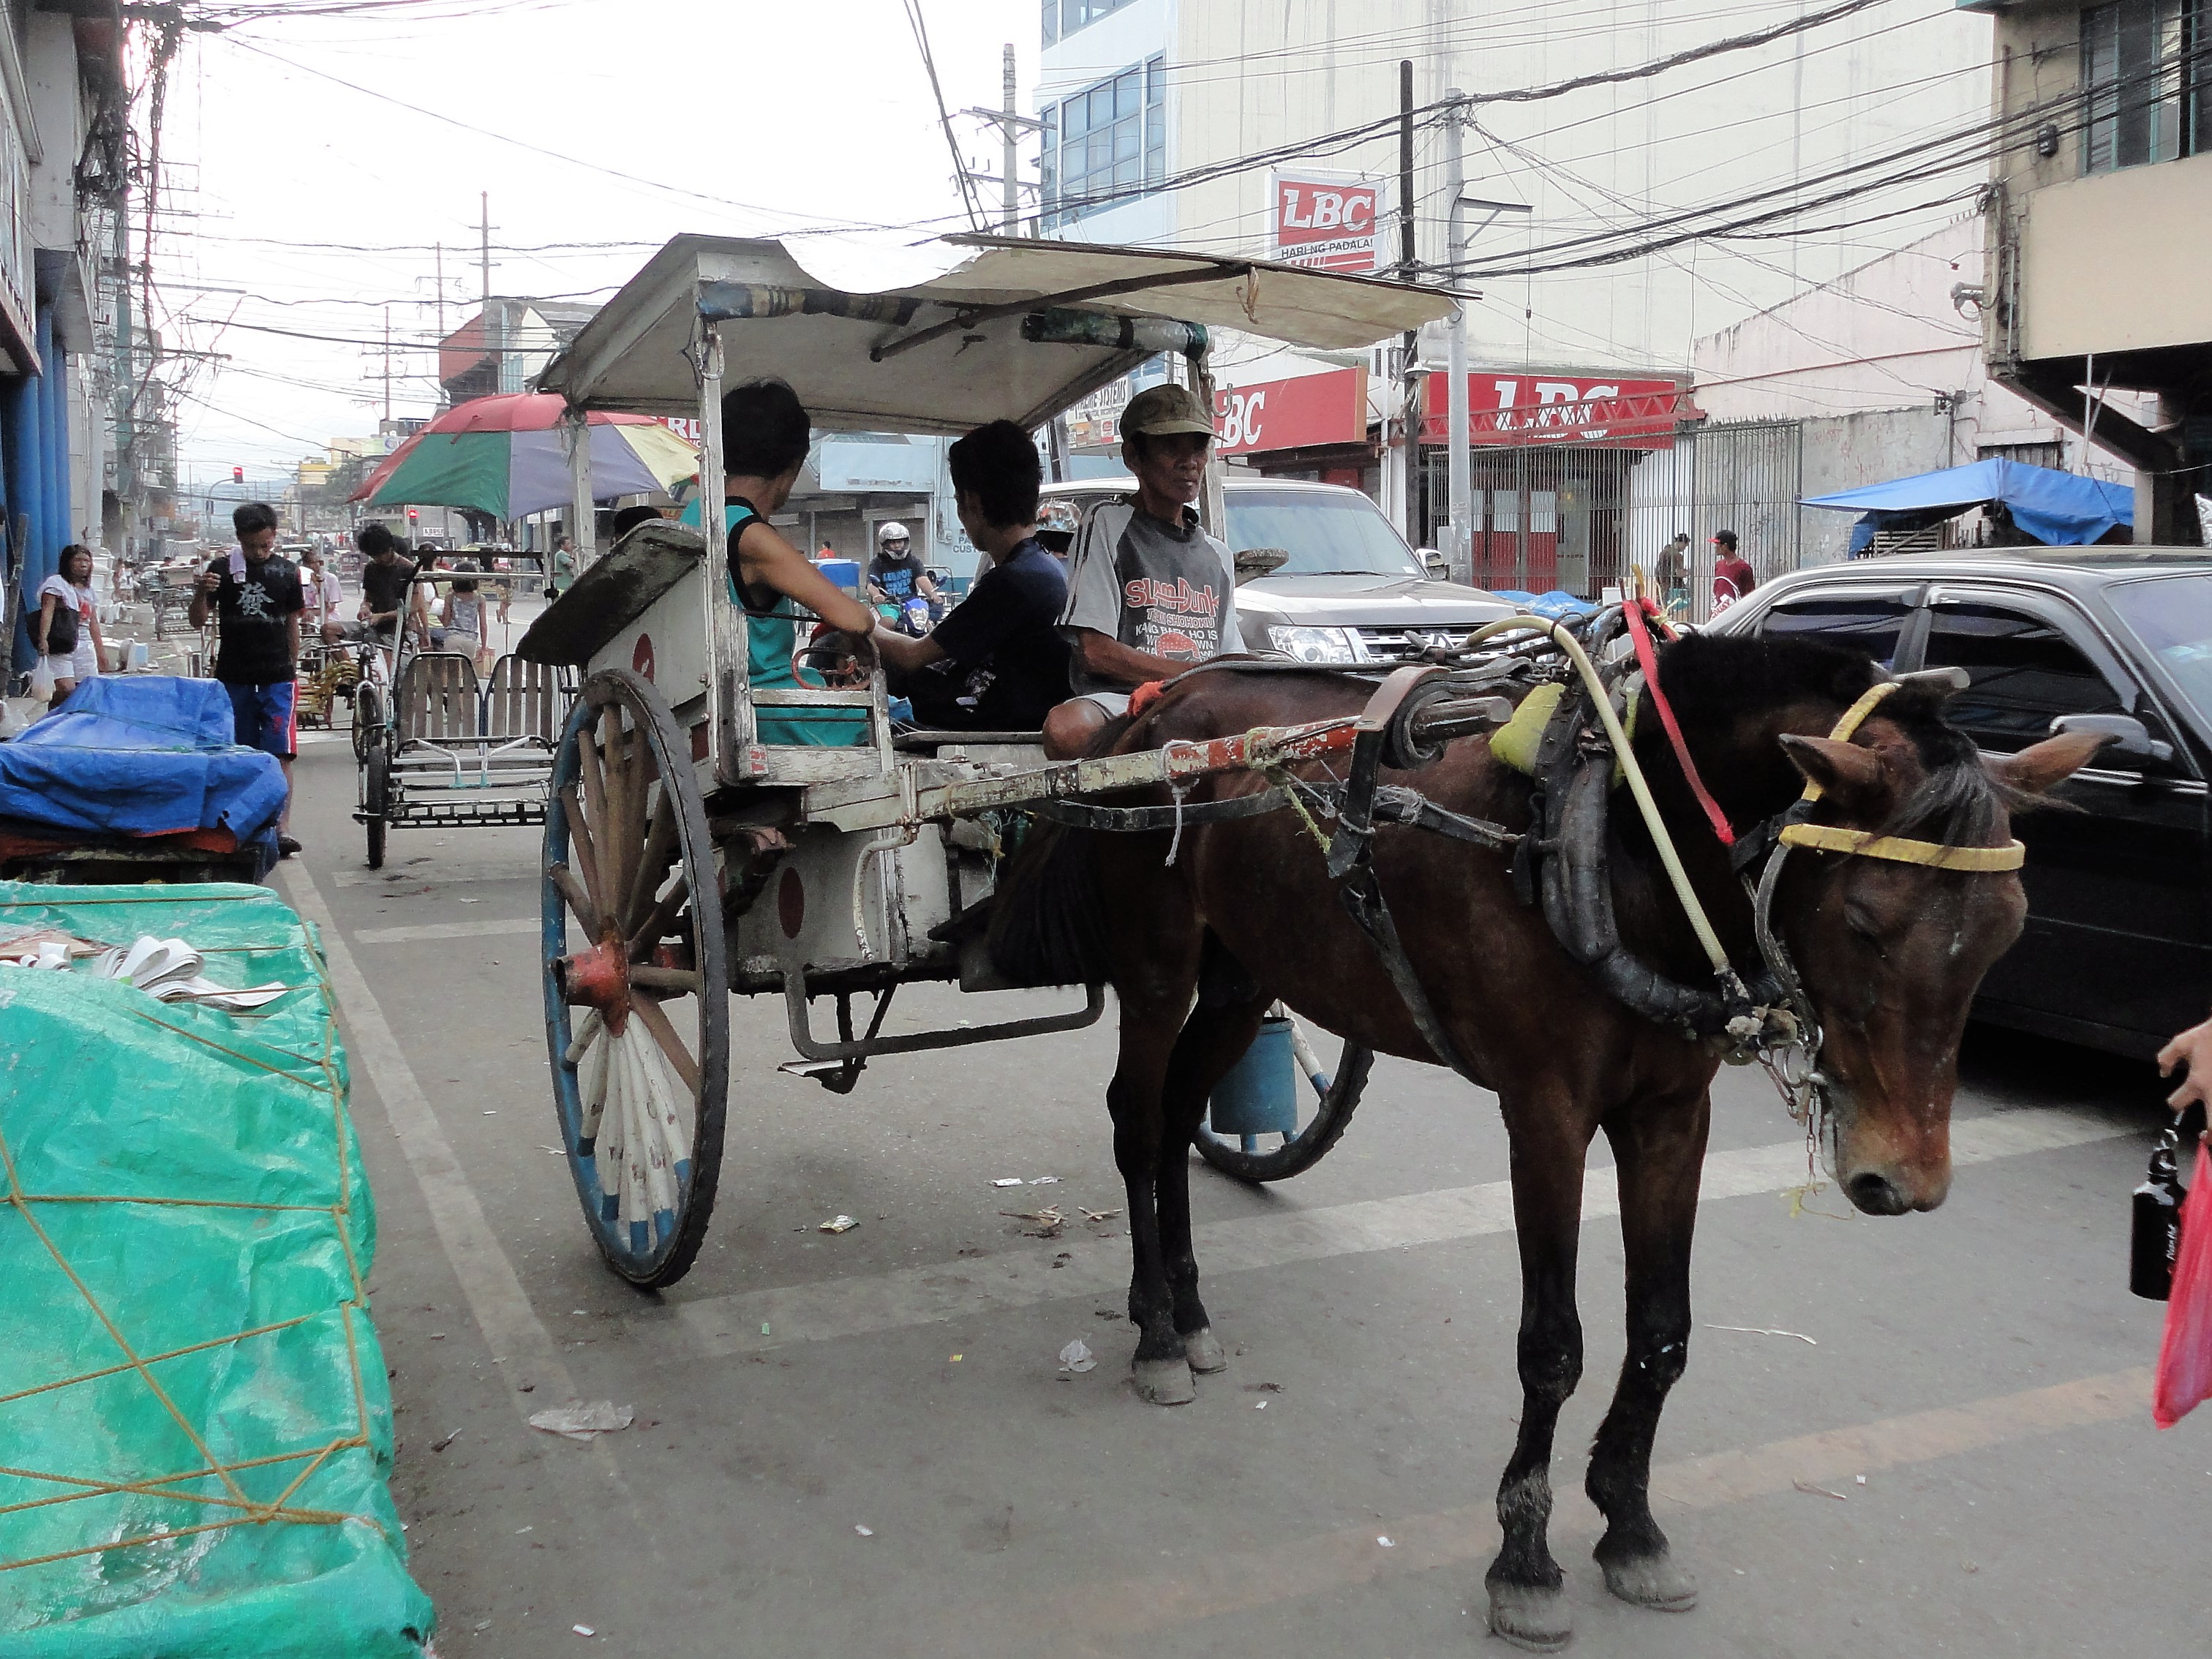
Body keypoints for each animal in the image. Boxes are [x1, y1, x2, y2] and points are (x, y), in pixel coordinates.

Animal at [990, 628, 2105, 1654]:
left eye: (2008, 928)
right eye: (1868, 922)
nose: (1903, 1179)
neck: (1613, 836)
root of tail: (1160, 701)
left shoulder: (1673, 1114)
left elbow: (1662, 1331)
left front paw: (1632, 1525)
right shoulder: (1546, 1114)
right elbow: (1553, 1345)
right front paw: (1523, 1558)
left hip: (1246, 968)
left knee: (1185, 1112)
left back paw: (1187, 1308)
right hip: (1158, 966)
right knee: (1140, 1125)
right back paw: (1154, 1333)